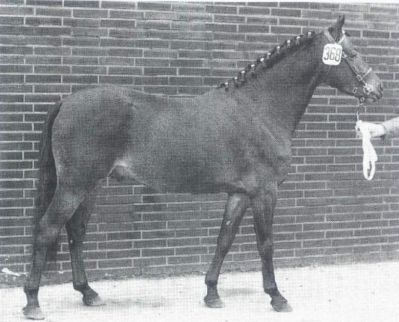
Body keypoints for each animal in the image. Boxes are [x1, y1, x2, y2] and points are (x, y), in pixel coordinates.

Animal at [22, 15, 384, 320]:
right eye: (352, 53)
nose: (377, 88)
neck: (259, 109)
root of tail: (67, 101)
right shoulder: (265, 192)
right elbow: (265, 243)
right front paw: (277, 297)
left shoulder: (240, 193)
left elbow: (224, 238)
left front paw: (212, 293)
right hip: (75, 185)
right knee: (47, 229)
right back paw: (33, 302)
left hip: (90, 186)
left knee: (75, 232)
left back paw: (88, 292)